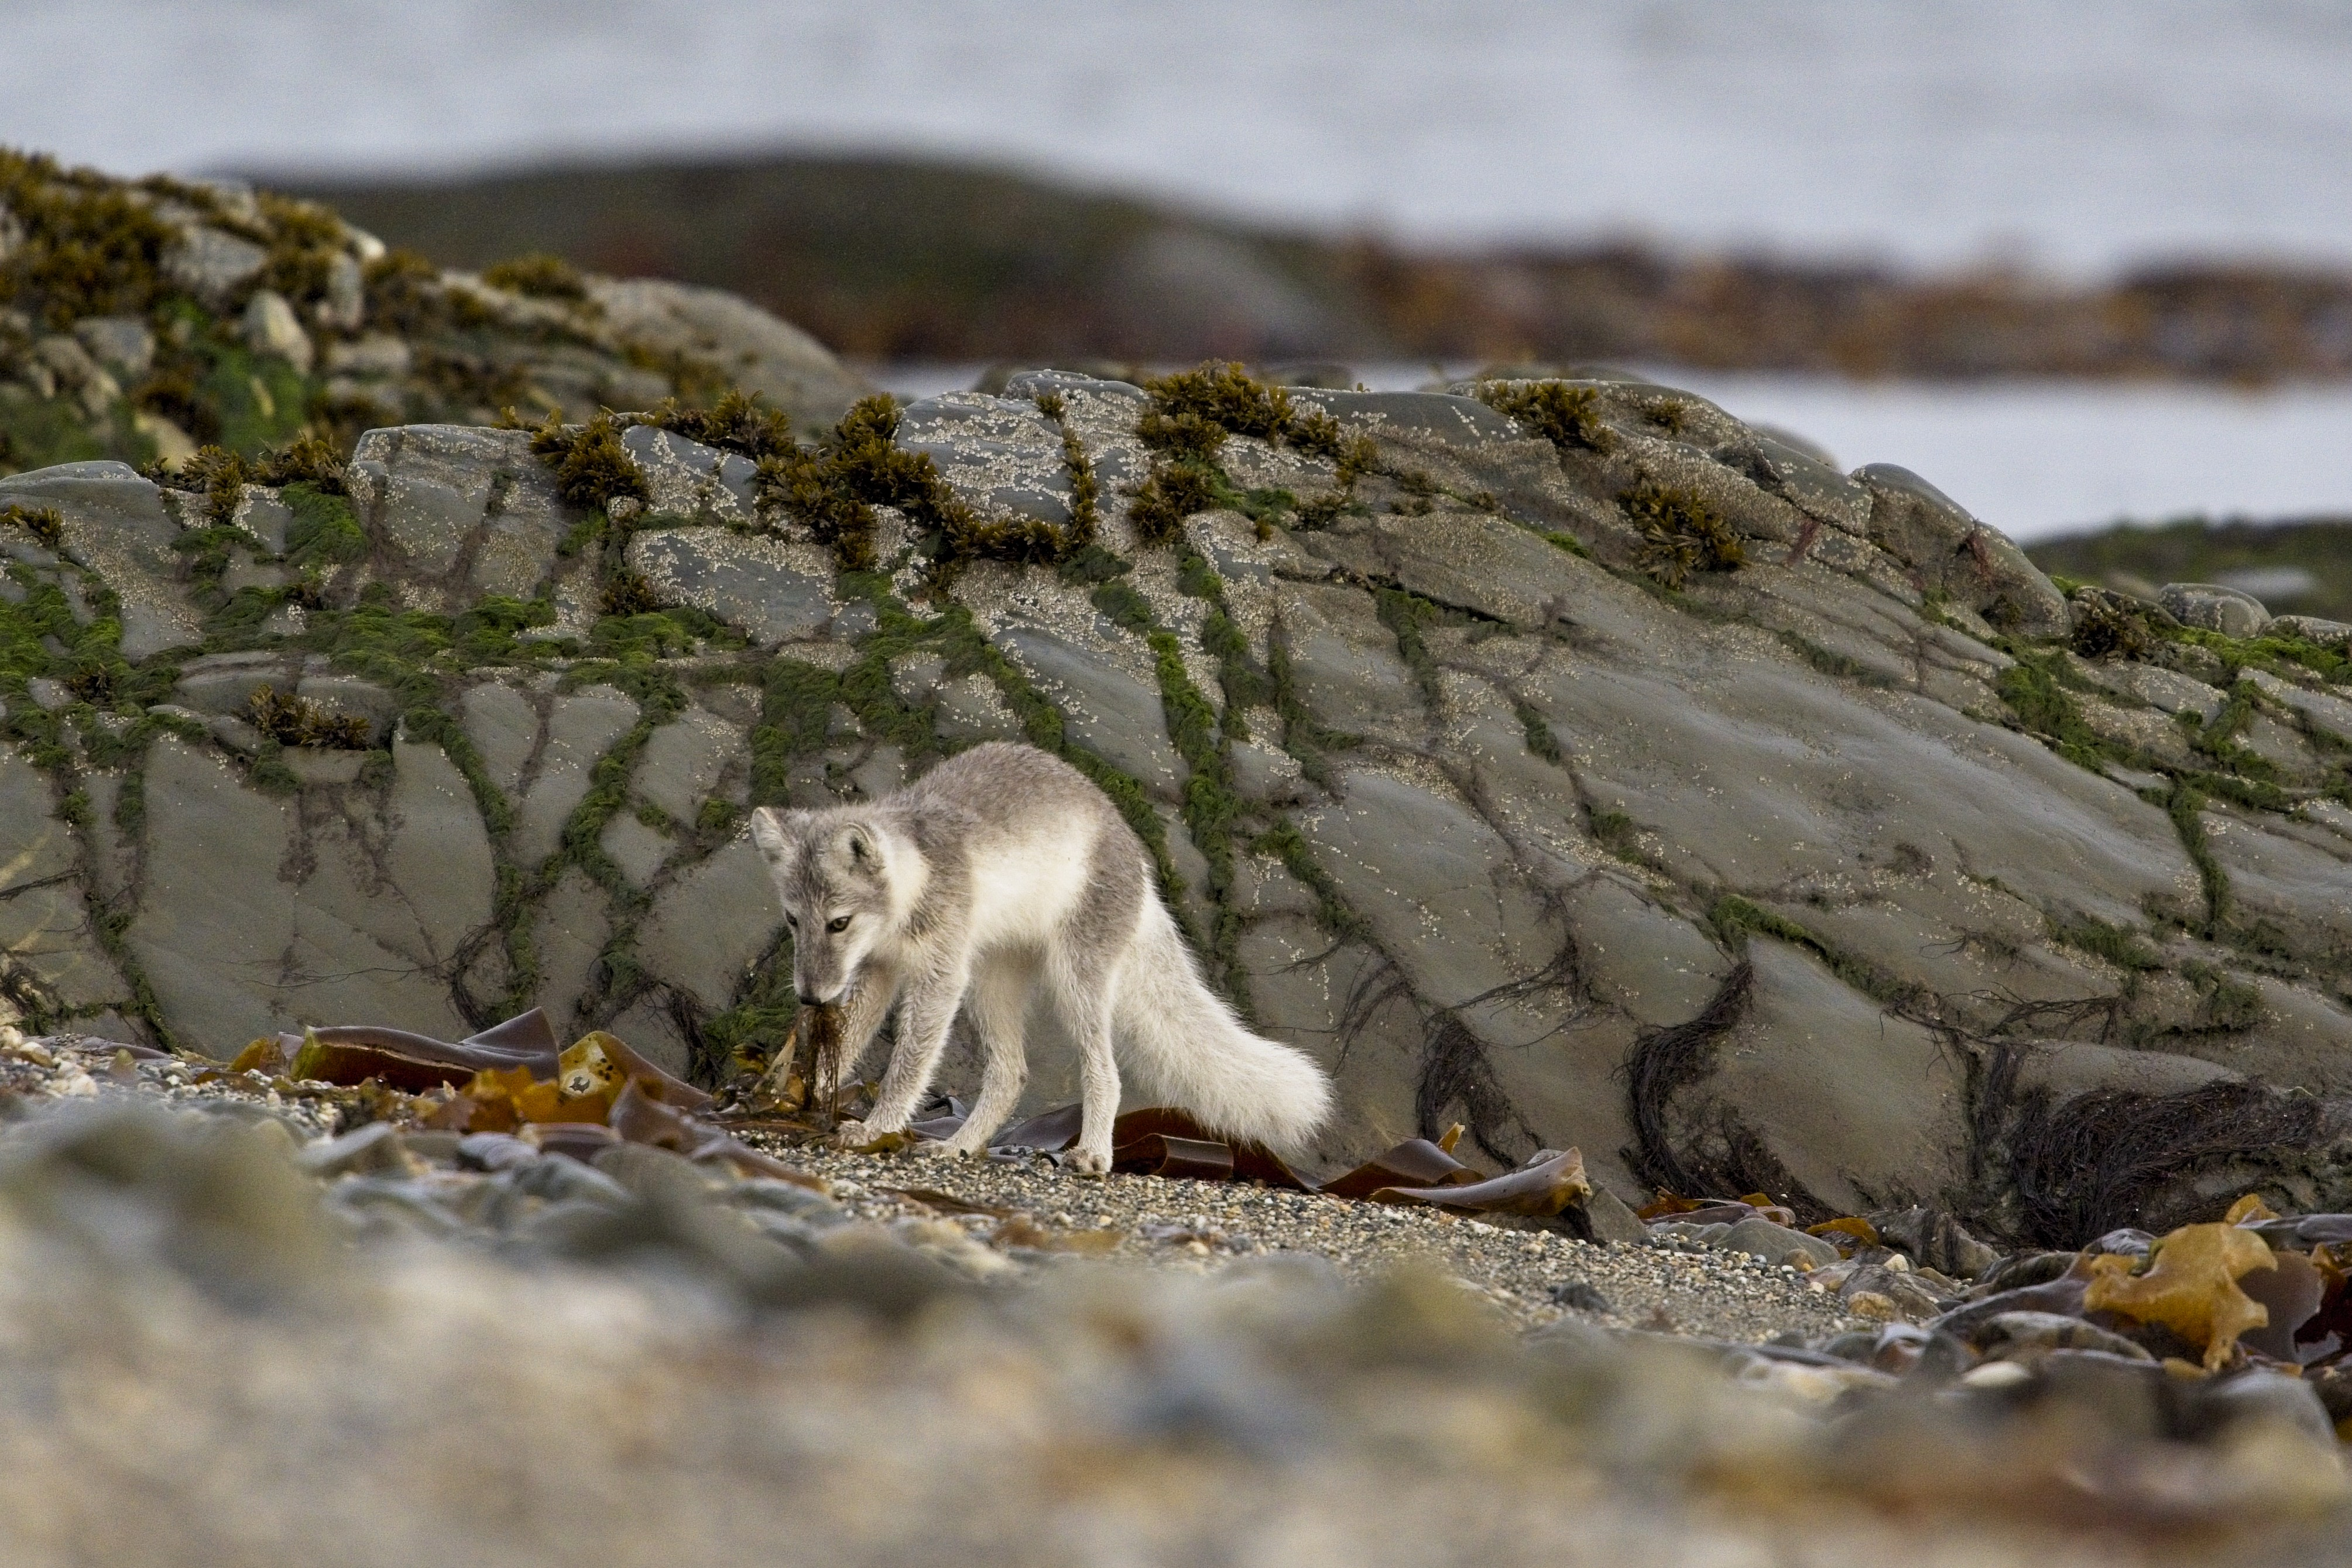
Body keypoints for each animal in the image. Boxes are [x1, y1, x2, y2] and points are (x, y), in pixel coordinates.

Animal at [752, 743, 1345, 1171]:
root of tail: (1142, 865)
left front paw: (876, 1128)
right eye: (793, 920)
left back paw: (1093, 1154)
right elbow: (849, 1039)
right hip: (991, 985)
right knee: (1012, 1074)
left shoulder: (941, 975)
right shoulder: (879, 970)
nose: (809, 995)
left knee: (1105, 1072)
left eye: (839, 922)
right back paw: (960, 1146)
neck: (918, 877)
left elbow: (908, 1065)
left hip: (1072, 981)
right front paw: (809, 1098)